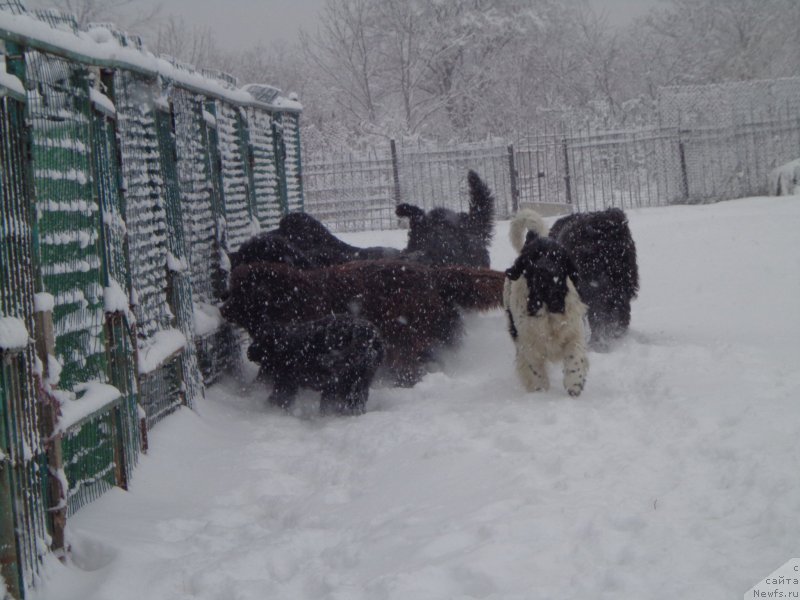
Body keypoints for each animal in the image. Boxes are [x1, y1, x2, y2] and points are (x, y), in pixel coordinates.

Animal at [250, 314, 388, 418]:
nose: (249, 352)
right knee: (356, 402)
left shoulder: (286, 381)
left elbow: (279, 398)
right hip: (359, 383)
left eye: (258, 339)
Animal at [506, 209, 588, 396]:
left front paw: (574, 384)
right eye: (533, 258)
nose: (545, 270)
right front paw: (540, 392)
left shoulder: (574, 331)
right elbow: (535, 371)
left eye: (557, 258)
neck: (548, 304)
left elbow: (575, 356)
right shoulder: (528, 343)